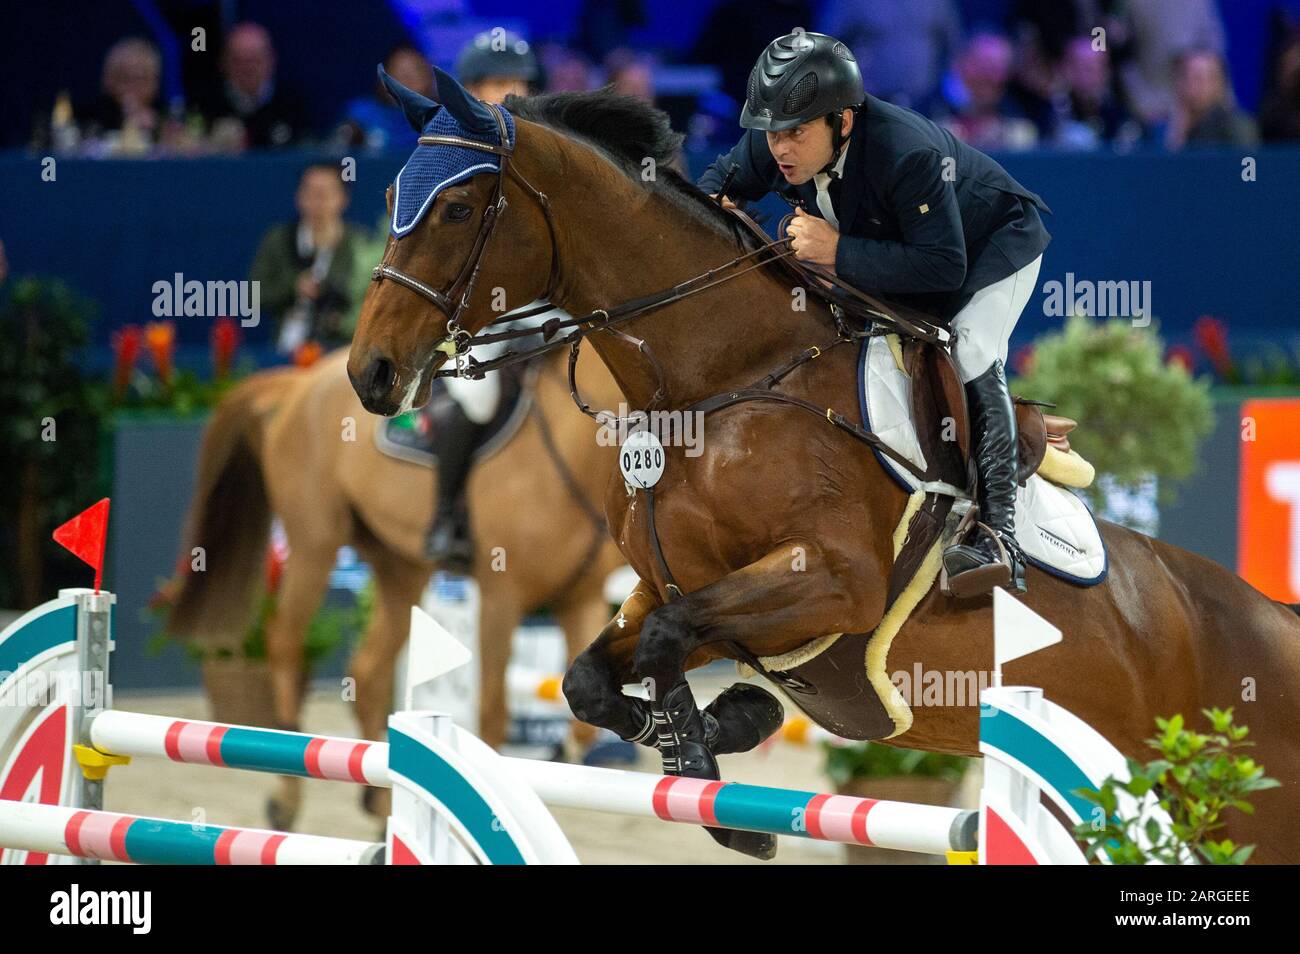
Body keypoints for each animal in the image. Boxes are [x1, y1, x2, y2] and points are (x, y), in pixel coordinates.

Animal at [167, 348, 624, 831]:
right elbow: (493, 714)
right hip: (314, 546)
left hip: (400, 569)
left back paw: (380, 802)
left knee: (367, 671)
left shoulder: (582, 601)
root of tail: (303, 380)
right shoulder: (502, 599)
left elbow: (582, 724)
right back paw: (285, 799)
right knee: (286, 646)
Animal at [343, 72, 1300, 868]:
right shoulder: (669, 583)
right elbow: (597, 673)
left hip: (1247, 813)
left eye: (458, 208)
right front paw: (727, 721)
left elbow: (666, 641)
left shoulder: (833, 581)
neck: (718, 381)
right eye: (391, 195)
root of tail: (1271, 621)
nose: (370, 374)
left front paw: (714, 767)